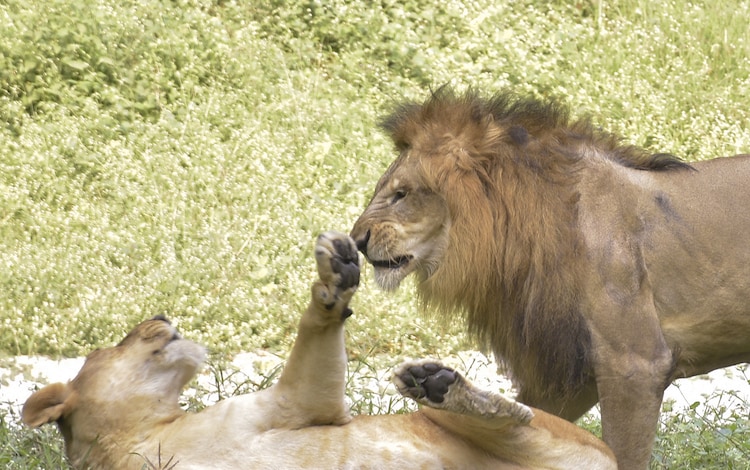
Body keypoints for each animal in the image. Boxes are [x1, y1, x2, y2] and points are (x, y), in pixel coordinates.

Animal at [23, 231, 615, 470]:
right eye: (112, 344)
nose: (162, 316)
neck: (137, 440)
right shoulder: (299, 402)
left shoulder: (302, 404)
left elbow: (313, 332)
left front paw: (335, 275)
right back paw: (432, 382)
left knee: (518, 416)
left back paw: (434, 382)